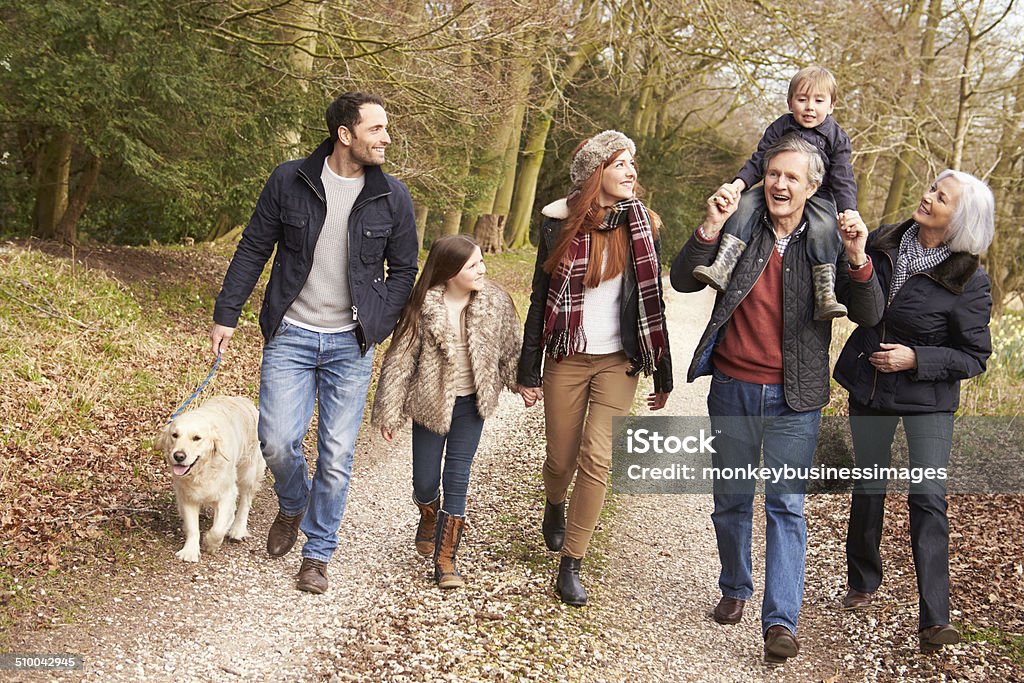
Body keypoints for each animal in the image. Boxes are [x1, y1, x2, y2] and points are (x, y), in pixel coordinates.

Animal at [155, 395, 266, 561]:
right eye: (174, 435)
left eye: (197, 438)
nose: (179, 456)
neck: (203, 470)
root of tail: (243, 399)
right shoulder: (187, 496)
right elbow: (192, 527)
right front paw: (190, 551)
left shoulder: (227, 493)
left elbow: (218, 529)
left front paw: (210, 543)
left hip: (249, 470)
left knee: (245, 501)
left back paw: (238, 530)